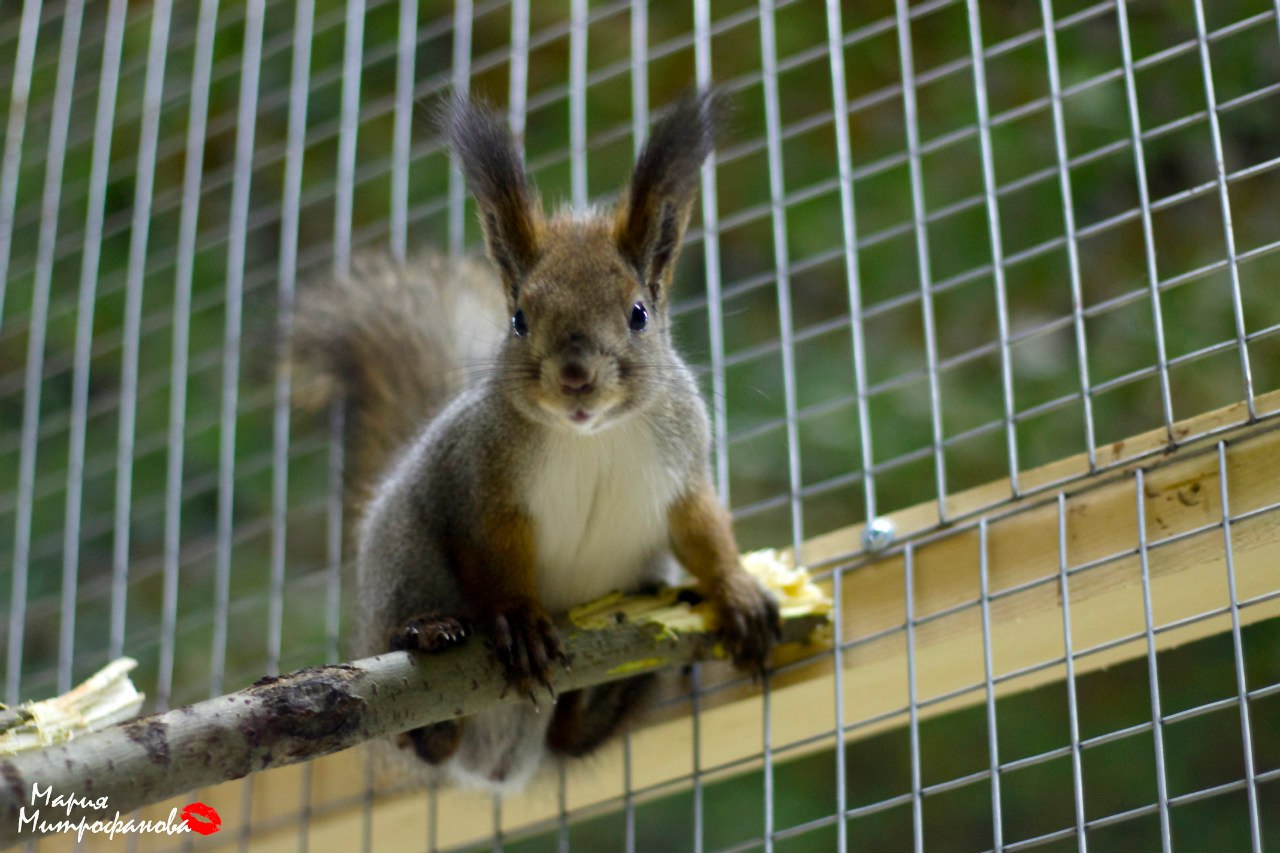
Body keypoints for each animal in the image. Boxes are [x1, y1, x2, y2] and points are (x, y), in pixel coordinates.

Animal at [290, 87, 778, 788]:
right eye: (519, 318)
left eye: (639, 314)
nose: (575, 376)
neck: (591, 436)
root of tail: (495, 761)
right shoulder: (484, 483)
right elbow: (496, 558)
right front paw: (520, 621)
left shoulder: (685, 467)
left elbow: (703, 531)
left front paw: (736, 590)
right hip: (404, 552)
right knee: (423, 732)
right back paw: (427, 641)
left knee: (571, 737)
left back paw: (617, 696)